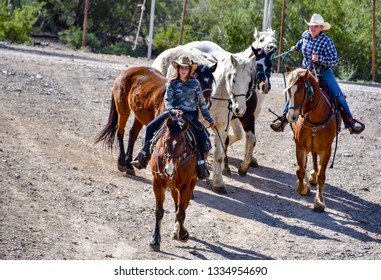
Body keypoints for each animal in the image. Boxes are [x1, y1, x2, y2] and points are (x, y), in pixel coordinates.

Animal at [148, 115, 196, 250]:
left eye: (182, 143)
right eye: (166, 141)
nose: (169, 169)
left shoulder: (185, 185)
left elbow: (181, 212)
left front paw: (183, 234)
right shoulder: (157, 182)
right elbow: (159, 211)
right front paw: (155, 238)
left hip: (192, 182)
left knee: (183, 205)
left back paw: (177, 230)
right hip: (173, 186)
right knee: (176, 201)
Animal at [284, 68, 338, 212]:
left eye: (301, 91)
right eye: (288, 91)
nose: (291, 116)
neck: (314, 120)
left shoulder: (326, 150)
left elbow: (321, 176)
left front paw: (319, 201)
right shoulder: (299, 146)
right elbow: (300, 170)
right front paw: (303, 188)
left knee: (314, 156)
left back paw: (313, 175)